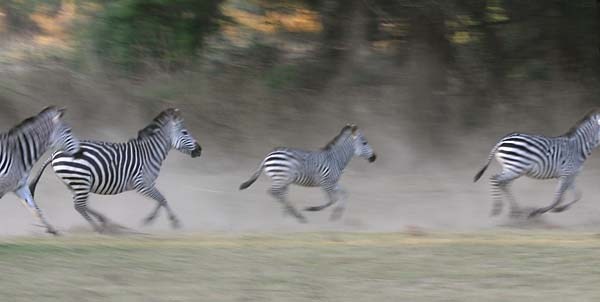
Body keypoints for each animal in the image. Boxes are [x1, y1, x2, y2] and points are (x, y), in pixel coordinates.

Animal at [0, 107, 79, 236]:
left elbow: (36, 209)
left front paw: (53, 231)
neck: (18, 155)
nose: (80, 151)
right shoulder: (3, 185)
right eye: (68, 131)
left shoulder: (20, 187)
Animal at [29, 108, 203, 234]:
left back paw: (103, 221)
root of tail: (55, 153)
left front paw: (153, 219)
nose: (200, 150)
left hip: (75, 183)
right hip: (81, 180)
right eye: (185, 132)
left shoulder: (148, 184)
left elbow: (161, 200)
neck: (150, 152)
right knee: (79, 205)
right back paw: (98, 228)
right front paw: (170, 221)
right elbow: (162, 199)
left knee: (82, 205)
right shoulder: (142, 184)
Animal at [239, 124, 376, 222]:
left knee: (280, 194)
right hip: (282, 177)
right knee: (273, 192)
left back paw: (289, 214)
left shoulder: (333, 182)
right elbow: (332, 199)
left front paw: (337, 214)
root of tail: (268, 155)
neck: (335, 159)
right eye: (364, 142)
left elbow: (345, 194)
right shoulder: (326, 183)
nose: (374, 157)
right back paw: (297, 216)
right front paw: (312, 209)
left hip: (284, 180)